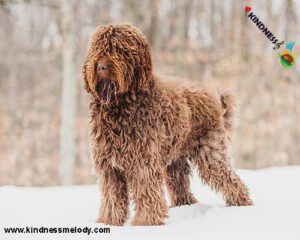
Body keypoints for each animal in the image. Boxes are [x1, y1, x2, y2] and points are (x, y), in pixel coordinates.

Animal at [82, 23, 253, 226]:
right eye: (97, 48)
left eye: (120, 49)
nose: (100, 66)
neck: (119, 106)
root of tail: (216, 99)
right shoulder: (108, 166)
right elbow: (112, 196)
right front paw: (108, 221)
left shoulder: (143, 161)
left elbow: (146, 192)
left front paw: (146, 222)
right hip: (176, 160)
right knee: (181, 187)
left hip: (210, 152)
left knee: (230, 179)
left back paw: (242, 205)